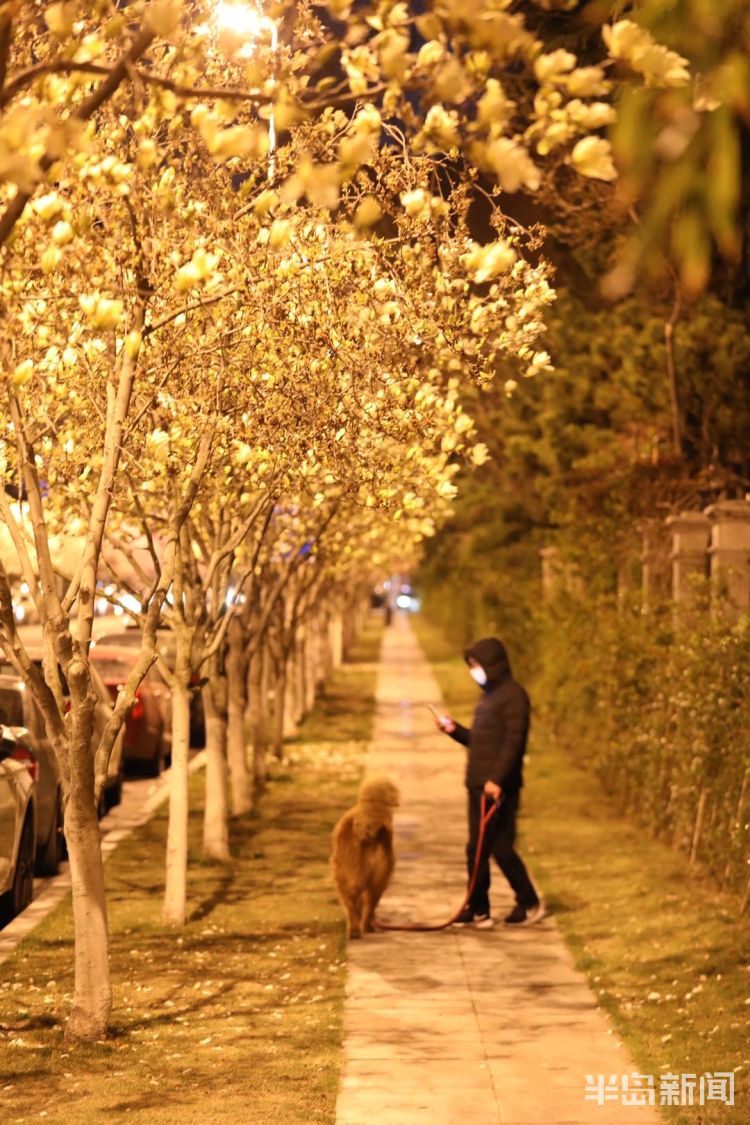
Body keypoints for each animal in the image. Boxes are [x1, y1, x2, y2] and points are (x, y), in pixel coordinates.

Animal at [330, 774, 398, 940]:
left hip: (347, 878)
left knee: (352, 907)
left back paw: (356, 930)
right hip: (378, 880)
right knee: (368, 906)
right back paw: (365, 928)